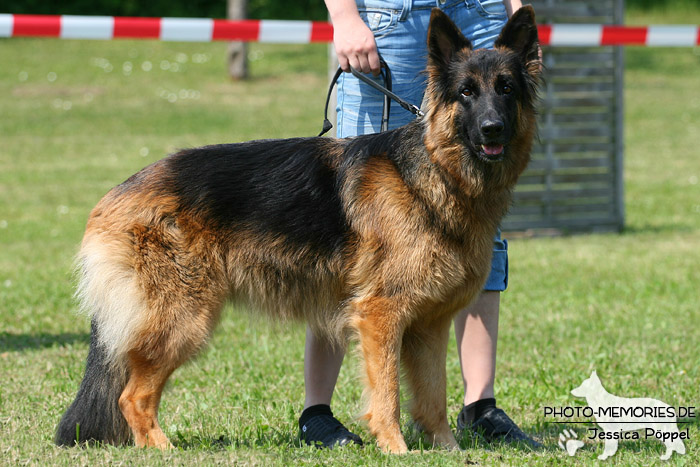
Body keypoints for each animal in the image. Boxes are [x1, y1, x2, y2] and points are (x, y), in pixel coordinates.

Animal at [56, 6, 540, 454]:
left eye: (506, 89)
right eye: (466, 93)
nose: (492, 129)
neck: (434, 173)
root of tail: (117, 193)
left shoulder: (429, 325)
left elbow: (434, 396)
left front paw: (447, 450)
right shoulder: (380, 317)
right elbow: (387, 394)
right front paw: (396, 450)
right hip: (183, 319)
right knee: (132, 396)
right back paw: (162, 449)